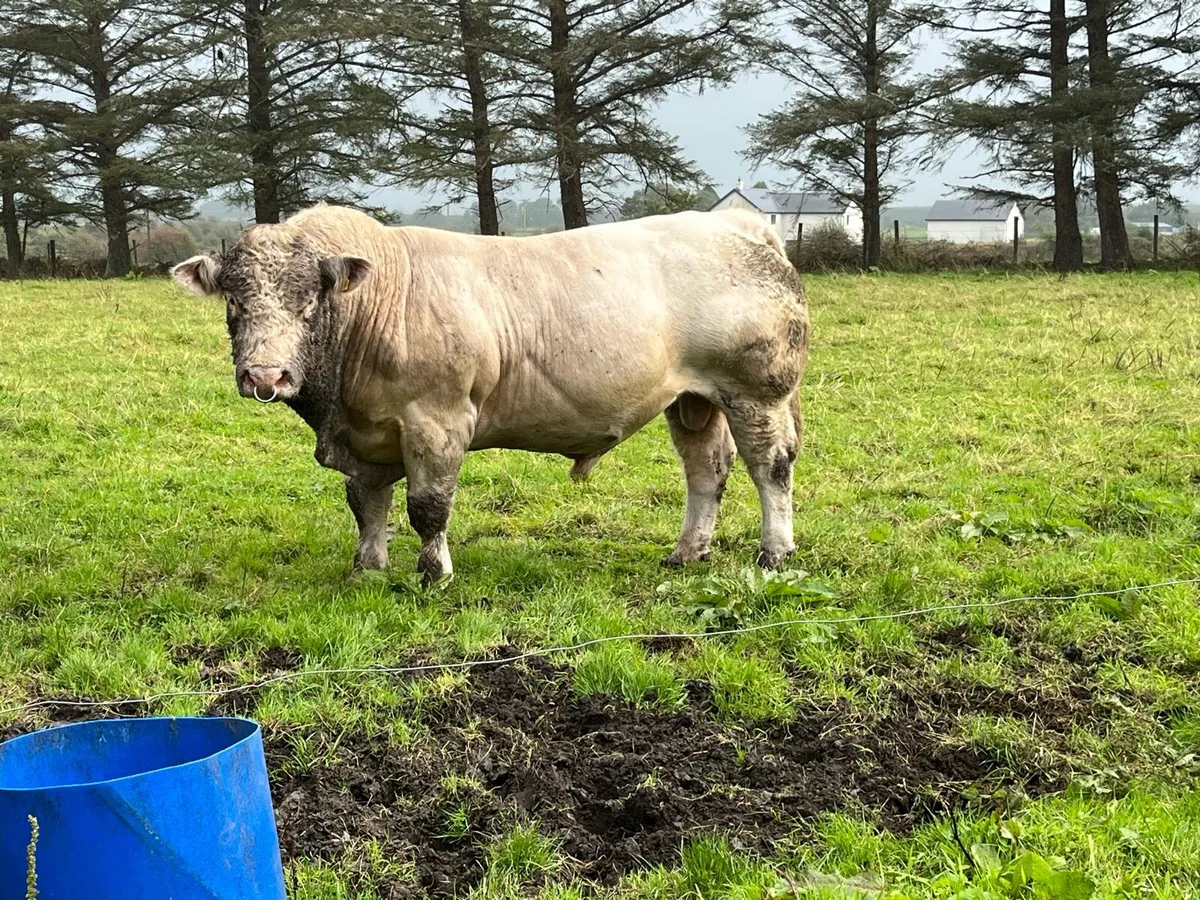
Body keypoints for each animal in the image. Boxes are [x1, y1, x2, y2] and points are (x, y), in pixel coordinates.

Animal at [171, 204, 809, 583]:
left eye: (309, 303)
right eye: (234, 302)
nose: (265, 377)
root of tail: (736, 222)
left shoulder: (436, 420)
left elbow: (427, 507)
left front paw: (434, 573)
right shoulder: (367, 431)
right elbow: (367, 503)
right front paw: (368, 569)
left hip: (758, 391)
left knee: (770, 466)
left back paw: (774, 552)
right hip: (694, 399)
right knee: (707, 469)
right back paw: (687, 552)